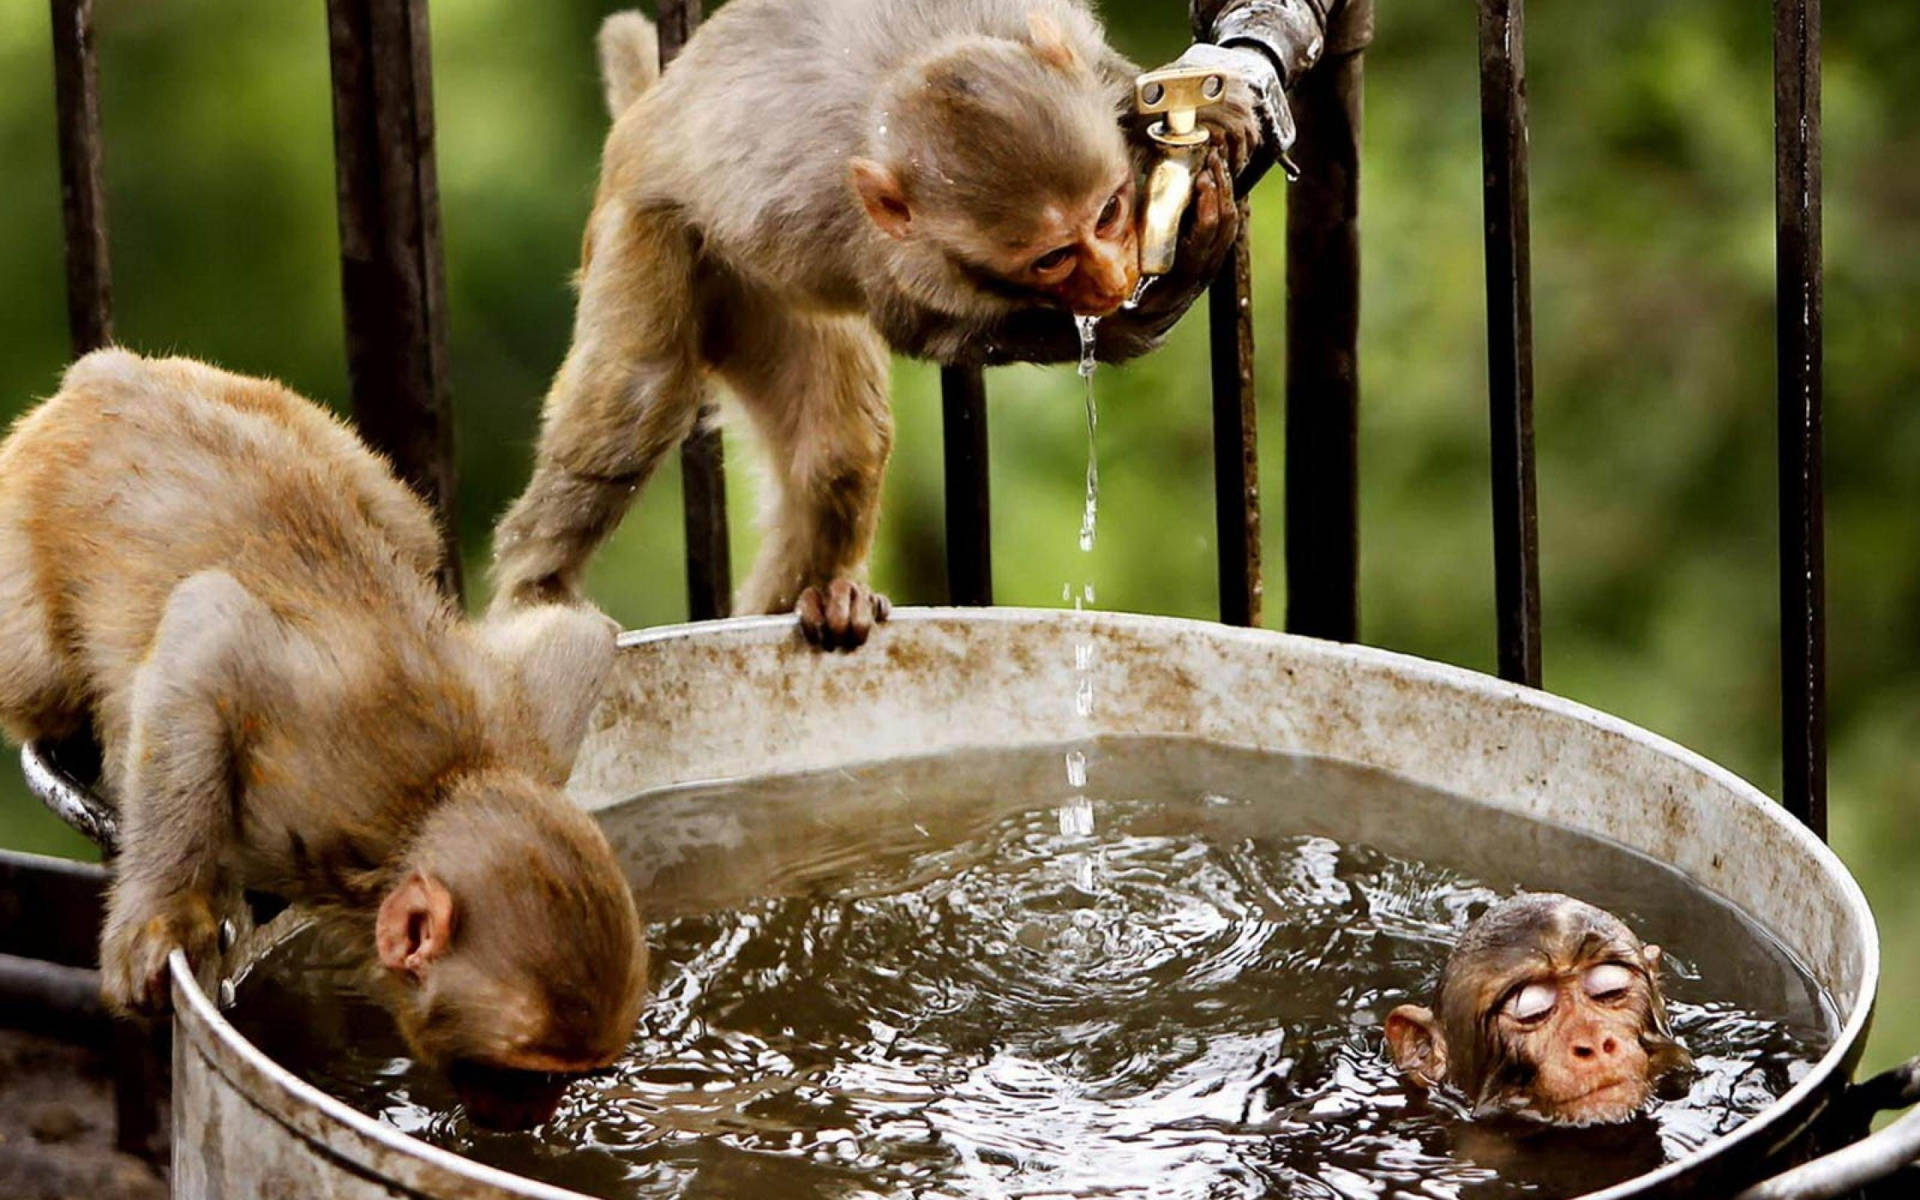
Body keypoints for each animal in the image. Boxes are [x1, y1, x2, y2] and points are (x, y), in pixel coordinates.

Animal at [0, 349, 648, 1121]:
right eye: (529, 1072)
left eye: (575, 1071)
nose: (534, 1118)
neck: (427, 802)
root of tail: (106, 377)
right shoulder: (309, 787)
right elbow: (208, 625)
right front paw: (161, 917)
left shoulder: (526, 737)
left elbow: (581, 634)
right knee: (41, 676)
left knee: (407, 527)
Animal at [491, 0, 1274, 645]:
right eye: (1052, 258)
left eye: (1109, 211)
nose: (1112, 278)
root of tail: (644, 117)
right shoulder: (896, 258)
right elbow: (931, 329)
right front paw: (1146, 307)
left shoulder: (1058, 33)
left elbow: (1116, 81)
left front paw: (1201, 115)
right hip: (651, 232)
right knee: (639, 398)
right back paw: (536, 591)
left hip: (759, 297)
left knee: (840, 448)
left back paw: (814, 598)